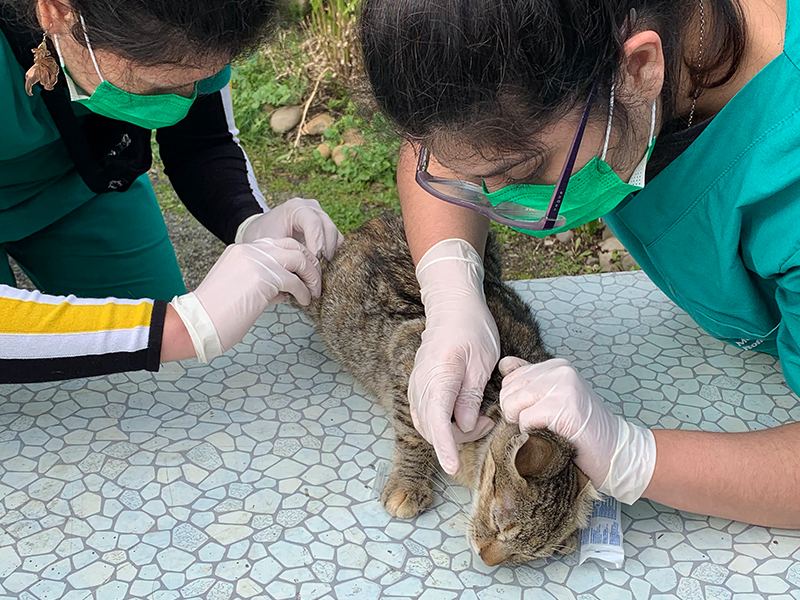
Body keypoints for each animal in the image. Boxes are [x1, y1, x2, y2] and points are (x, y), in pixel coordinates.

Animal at [298, 213, 592, 564]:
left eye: (525, 555)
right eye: (499, 523)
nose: (488, 560)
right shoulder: (414, 358)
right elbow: (414, 436)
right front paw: (408, 485)